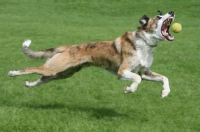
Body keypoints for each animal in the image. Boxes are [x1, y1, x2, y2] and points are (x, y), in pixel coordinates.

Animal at [7, 10, 175, 97]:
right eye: (159, 17)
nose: (172, 12)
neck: (145, 43)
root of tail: (66, 47)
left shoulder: (144, 72)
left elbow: (164, 78)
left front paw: (165, 92)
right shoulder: (122, 72)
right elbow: (136, 79)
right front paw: (130, 89)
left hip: (61, 73)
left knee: (42, 78)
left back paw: (28, 85)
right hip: (54, 68)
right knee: (29, 68)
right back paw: (12, 73)